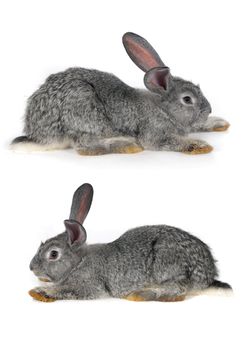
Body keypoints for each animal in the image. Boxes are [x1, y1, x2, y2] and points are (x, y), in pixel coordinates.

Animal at [10, 31, 229, 156]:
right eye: (187, 99)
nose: (208, 110)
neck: (163, 109)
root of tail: (38, 134)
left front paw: (219, 123)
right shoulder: (154, 132)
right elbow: (169, 142)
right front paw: (198, 145)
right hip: (83, 108)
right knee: (84, 145)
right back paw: (125, 145)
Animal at [29, 185, 232, 302]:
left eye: (53, 254)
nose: (31, 268)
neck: (78, 262)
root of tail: (208, 276)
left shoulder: (90, 285)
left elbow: (66, 290)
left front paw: (41, 291)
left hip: (166, 263)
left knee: (177, 289)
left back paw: (140, 294)